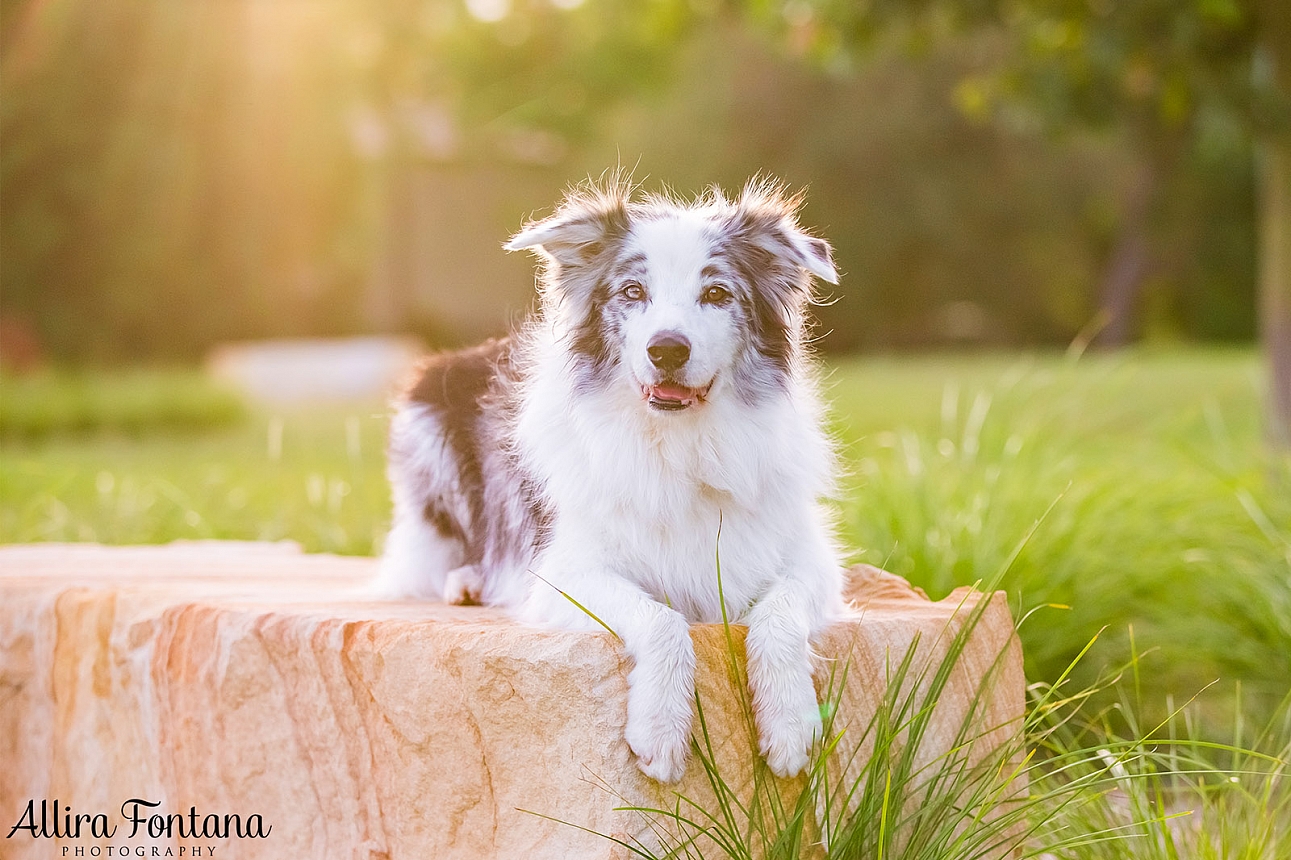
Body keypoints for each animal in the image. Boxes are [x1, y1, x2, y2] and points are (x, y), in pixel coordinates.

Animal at [376, 176, 846, 779]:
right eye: (632, 292)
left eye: (718, 294)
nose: (666, 349)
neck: (677, 444)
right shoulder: (563, 572)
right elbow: (662, 620)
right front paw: (661, 731)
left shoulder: (813, 561)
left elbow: (781, 615)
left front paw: (790, 723)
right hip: (427, 429)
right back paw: (468, 581)